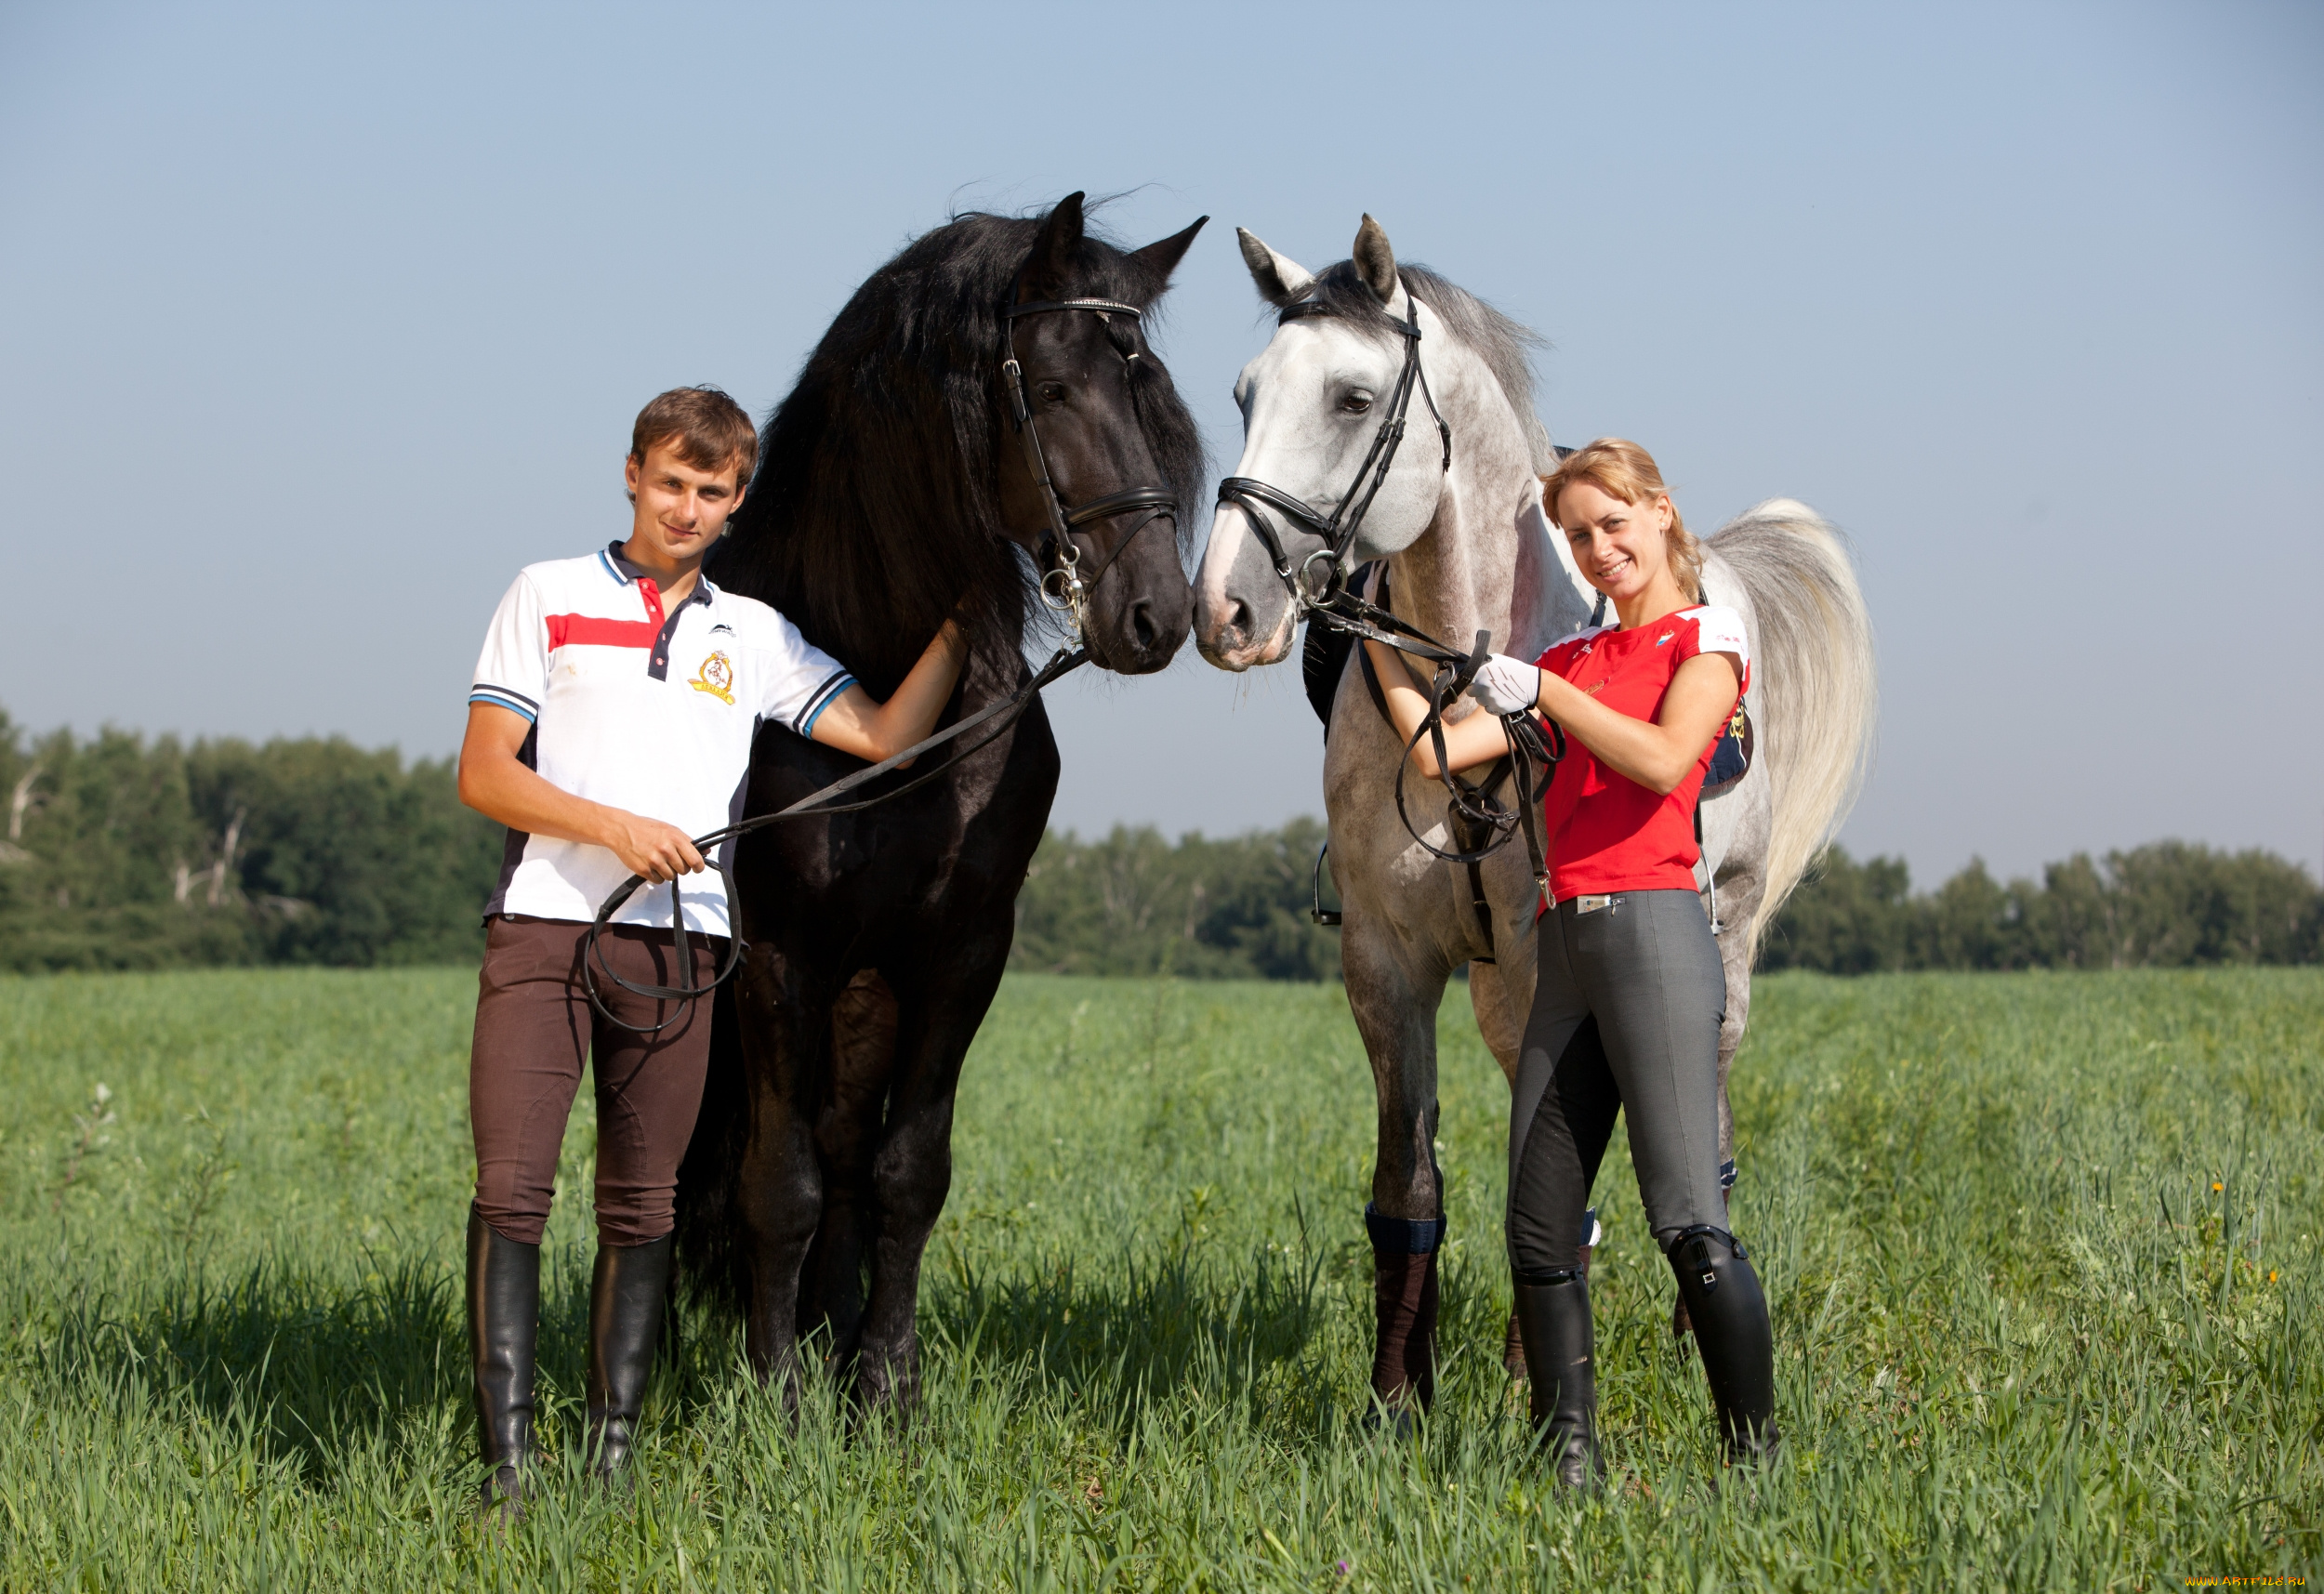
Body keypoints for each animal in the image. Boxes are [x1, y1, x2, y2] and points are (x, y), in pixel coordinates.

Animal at [674, 196, 1208, 1413]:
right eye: (1050, 386)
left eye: (1150, 389)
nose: (1157, 613)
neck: (876, 693)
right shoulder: (778, 954)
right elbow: (778, 1179)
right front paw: (776, 1397)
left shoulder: (962, 953)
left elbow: (906, 1171)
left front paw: (884, 1386)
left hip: (868, 997)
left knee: (847, 1151)